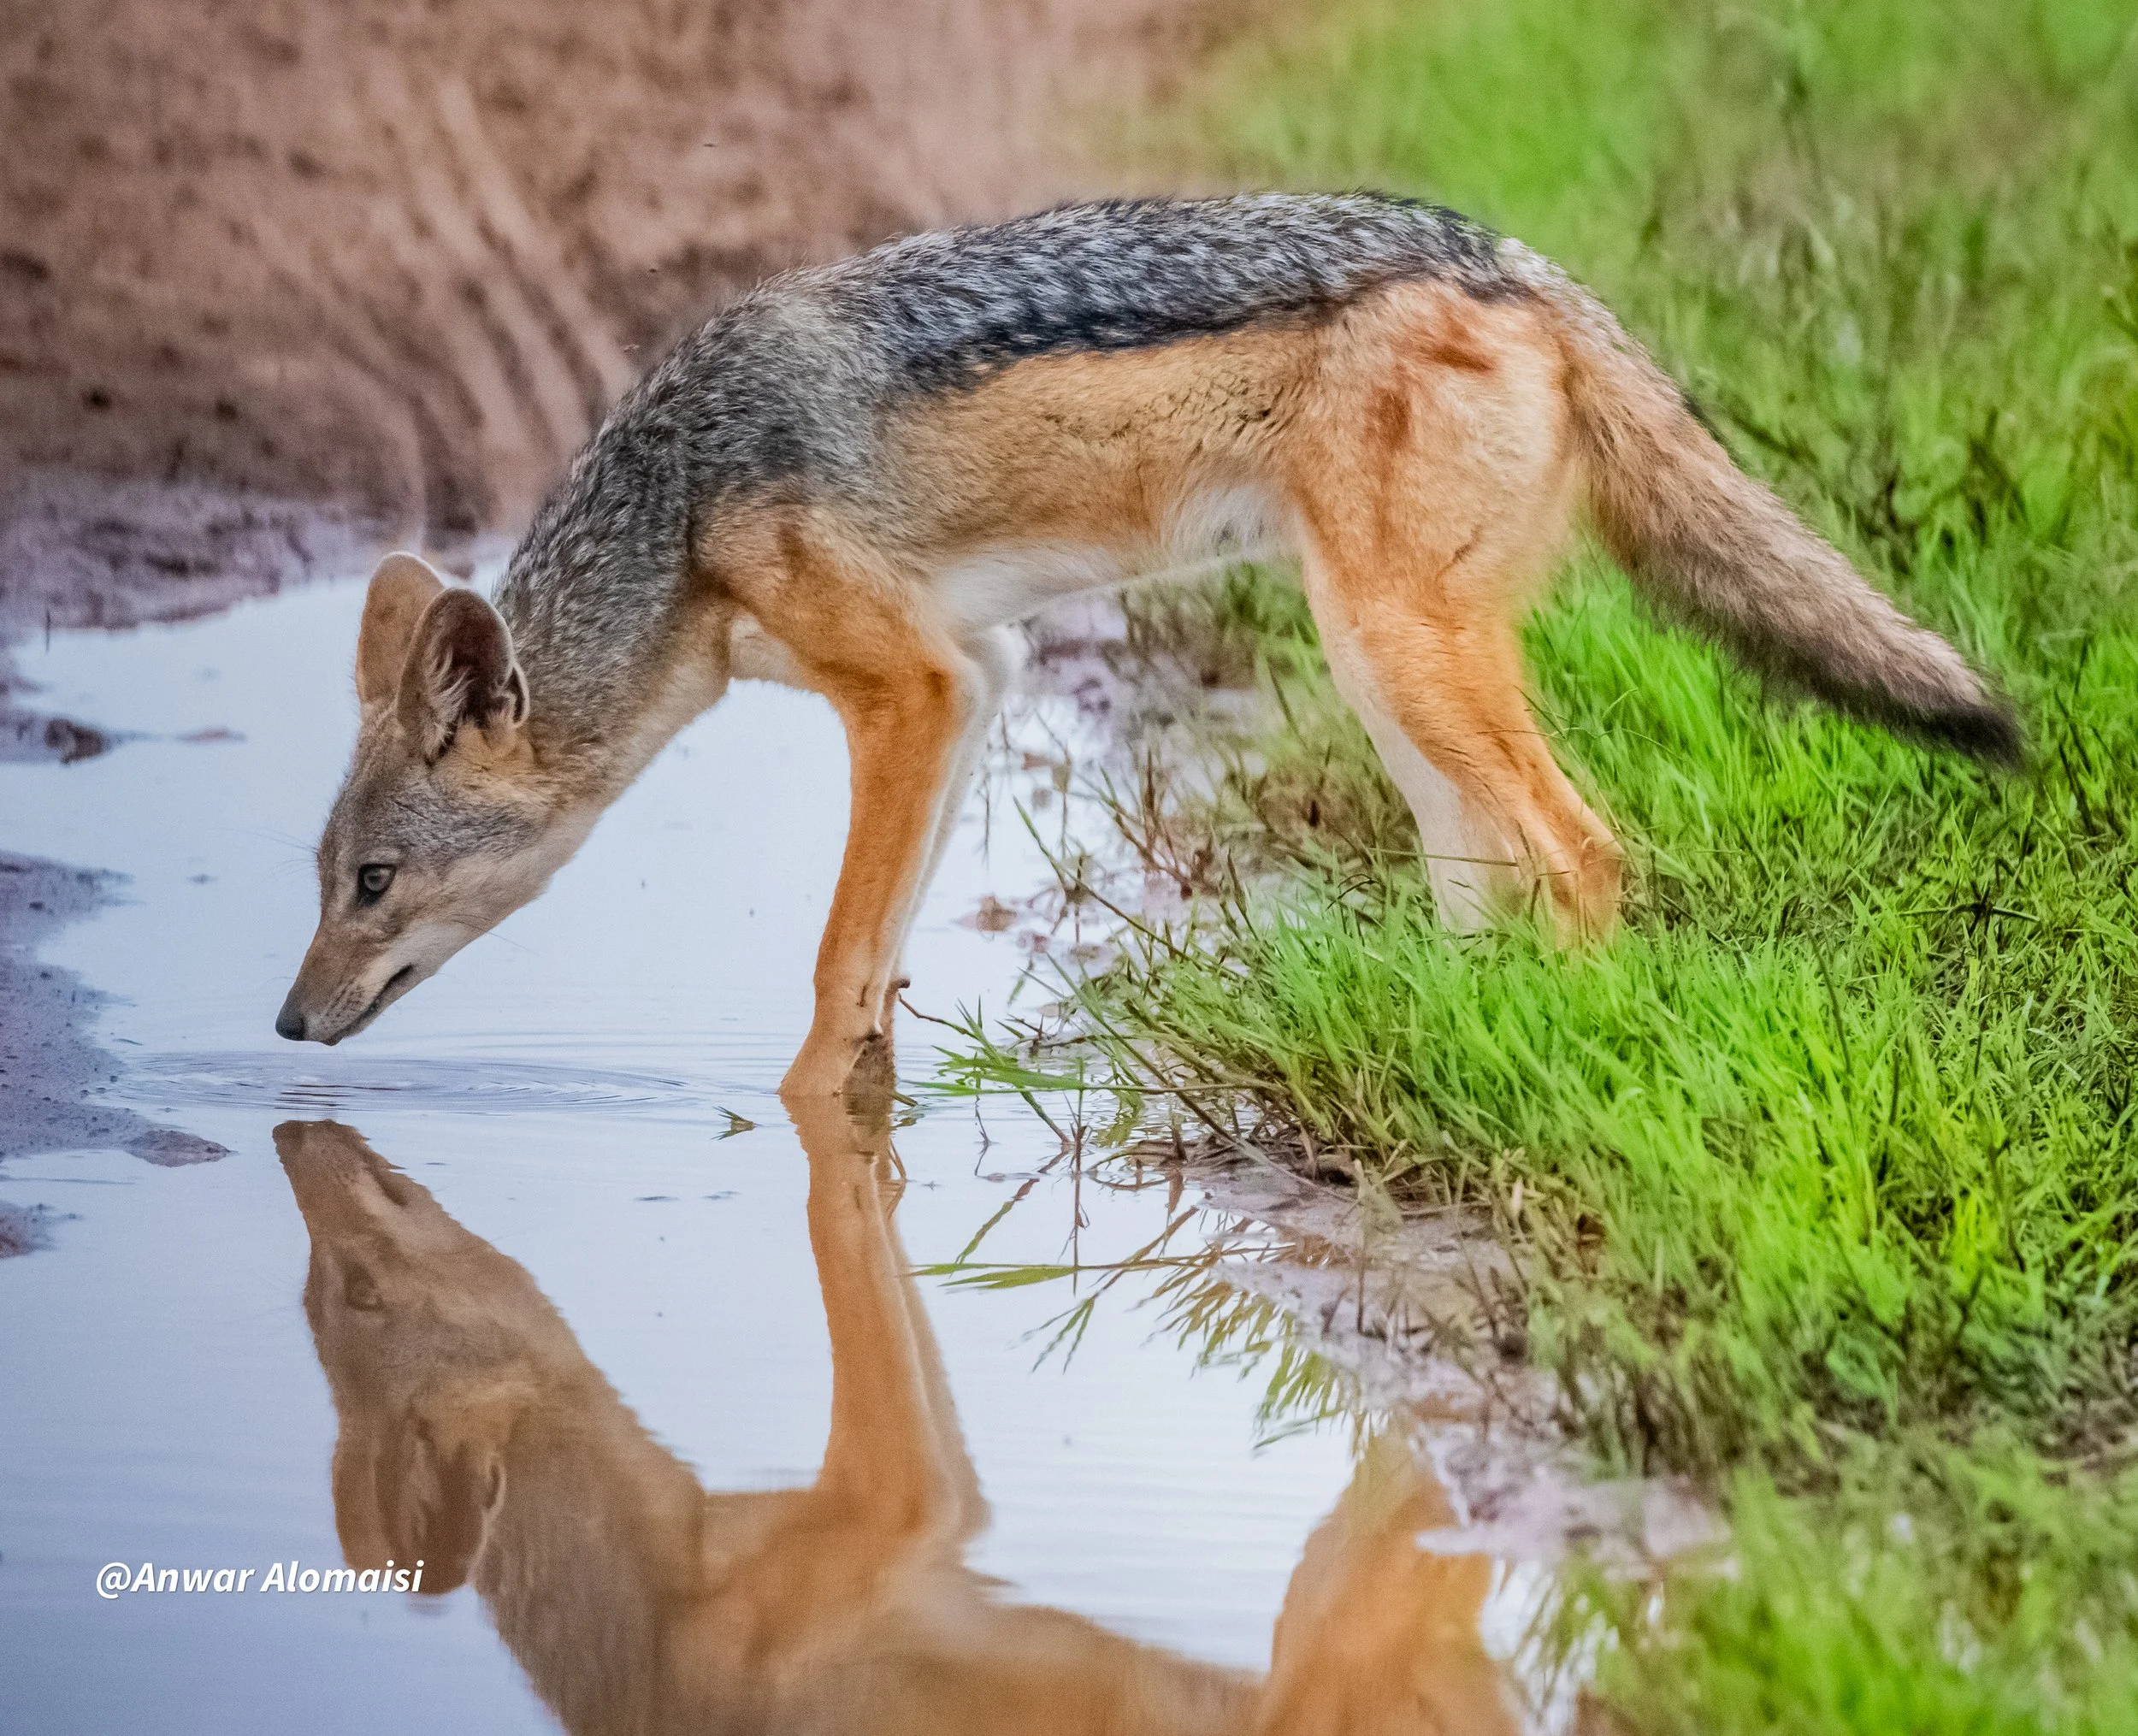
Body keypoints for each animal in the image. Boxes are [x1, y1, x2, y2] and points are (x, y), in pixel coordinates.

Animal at [276, 192, 2015, 1094]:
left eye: (373, 883)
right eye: (329, 880)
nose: (284, 1025)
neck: (682, 501)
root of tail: (1509, 257)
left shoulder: (912, 690)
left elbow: (837, 961)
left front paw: (790, 1127)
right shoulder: (980, 682)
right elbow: (881, 969)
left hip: (1400, 658)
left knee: (1589, 859)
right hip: (1389, 685)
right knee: (1491, 887)